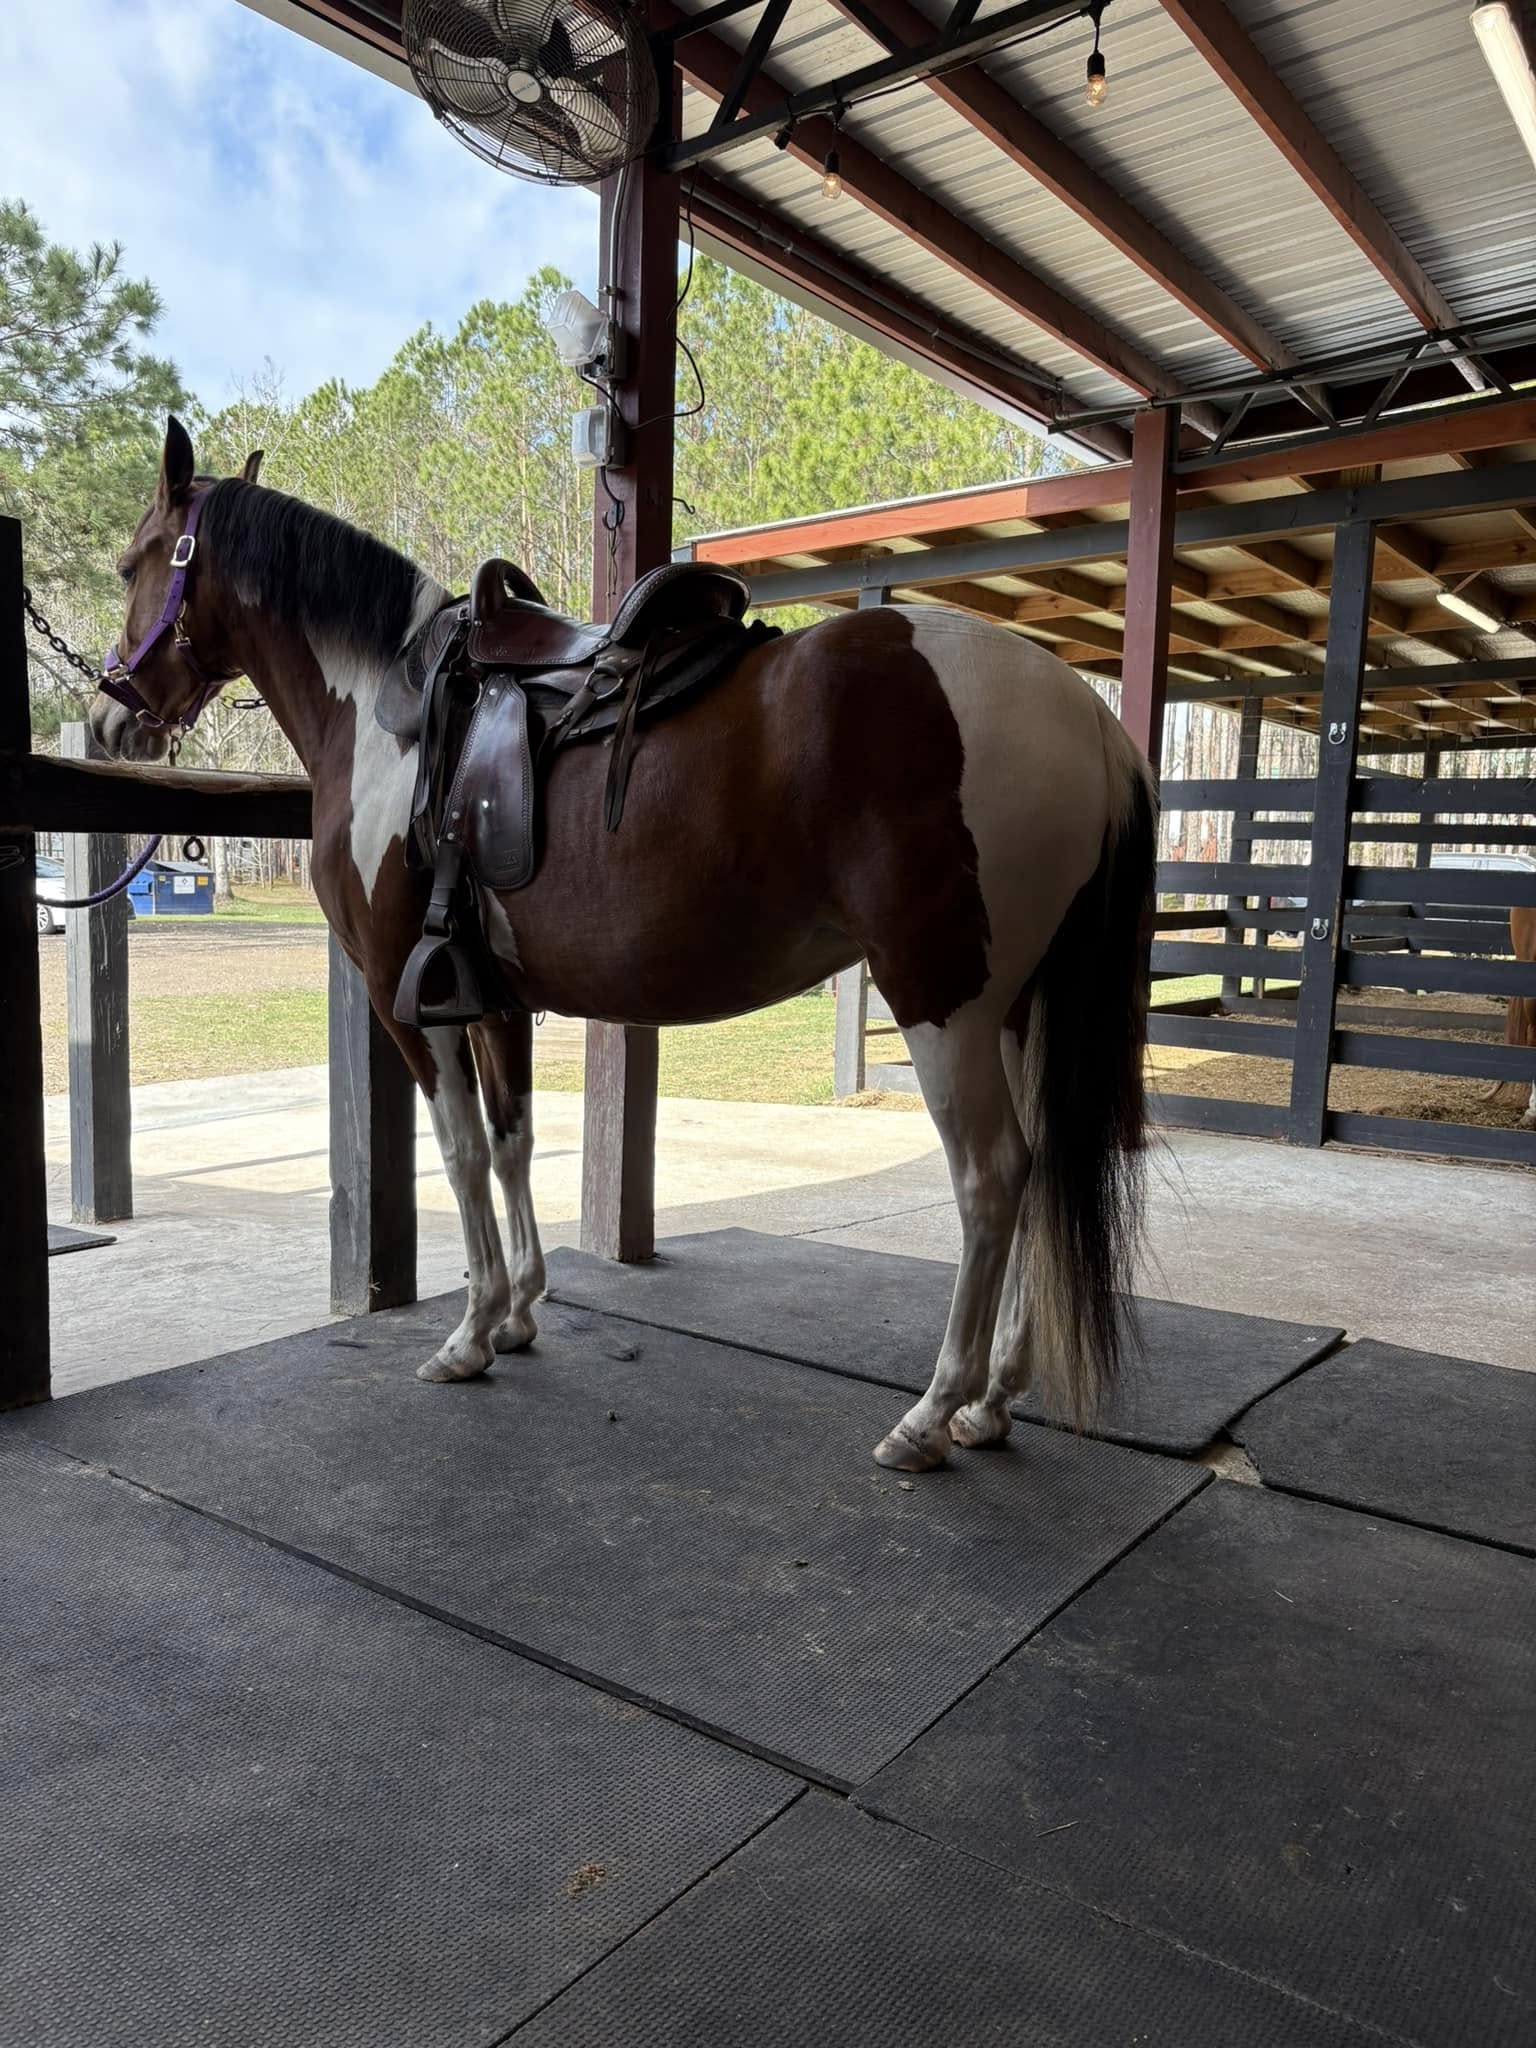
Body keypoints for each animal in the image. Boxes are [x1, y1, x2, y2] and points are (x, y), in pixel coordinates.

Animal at [90, 418, 1157, 1473]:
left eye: (131, 562)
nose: (108, 716)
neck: (389, 713)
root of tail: (1086, 717)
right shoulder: (492, 998)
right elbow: (513, 1141)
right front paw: (519, 1314)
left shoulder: (410, 996)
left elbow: (461, 1154)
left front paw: (470, 1334)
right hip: (1014, 1009)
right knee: (1036, 1173)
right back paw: (993, 1400)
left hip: (943, 1000)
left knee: (992, 1180)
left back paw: (932, 1414)